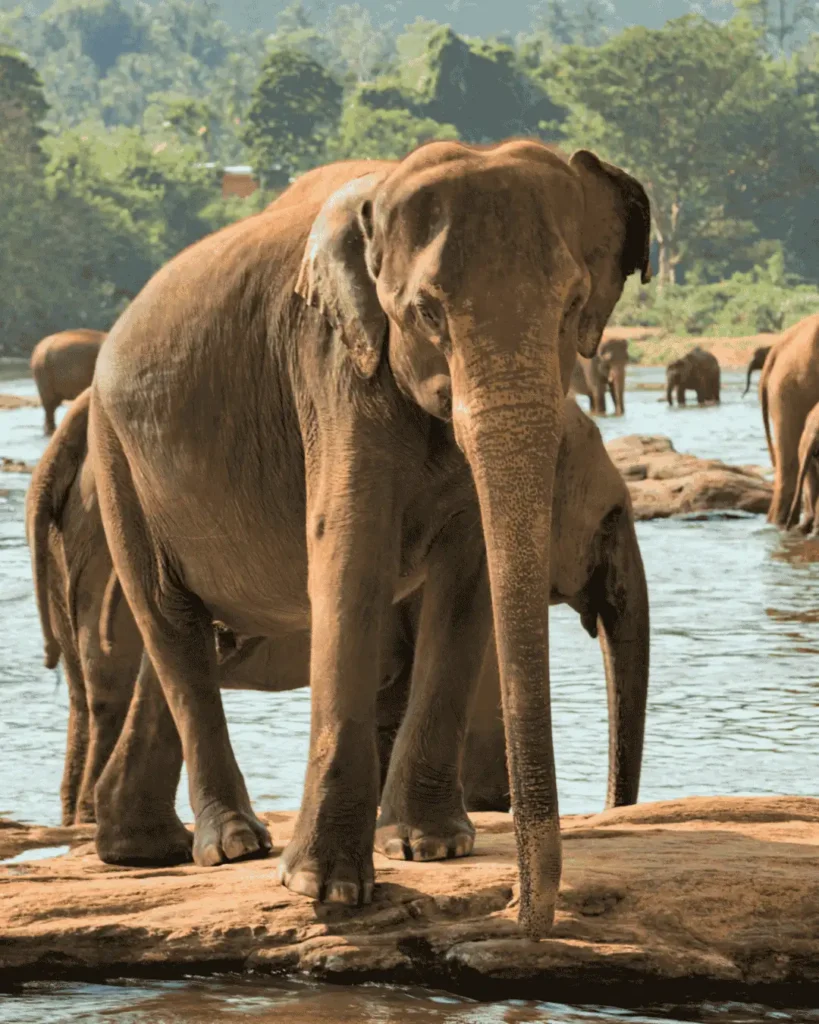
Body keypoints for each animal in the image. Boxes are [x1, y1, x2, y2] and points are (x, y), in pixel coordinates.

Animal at [84, 141, 652, 938]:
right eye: (425, 313)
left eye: (573, 307)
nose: (526, 918)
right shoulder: (328, 365)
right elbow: (351, 551)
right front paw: (324, 888)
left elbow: (466, 579)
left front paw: (431, 847)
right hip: (116, 455)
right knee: (169, 621)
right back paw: (232, 846)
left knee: (191, 639)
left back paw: (144, 850)